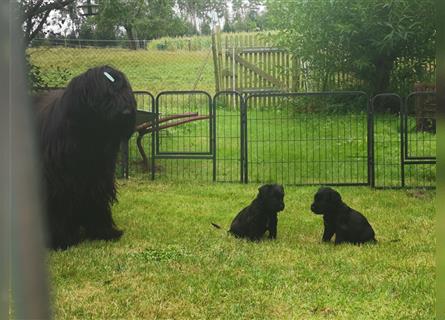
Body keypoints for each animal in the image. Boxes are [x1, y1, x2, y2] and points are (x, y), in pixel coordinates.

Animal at [33, 65, 135, 250]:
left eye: (124, 89)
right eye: (105, 93)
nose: (126, 112)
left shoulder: (97, 177)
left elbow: (96, 199)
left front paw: (104, 231)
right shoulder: (57, 181)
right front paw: (60, 240)